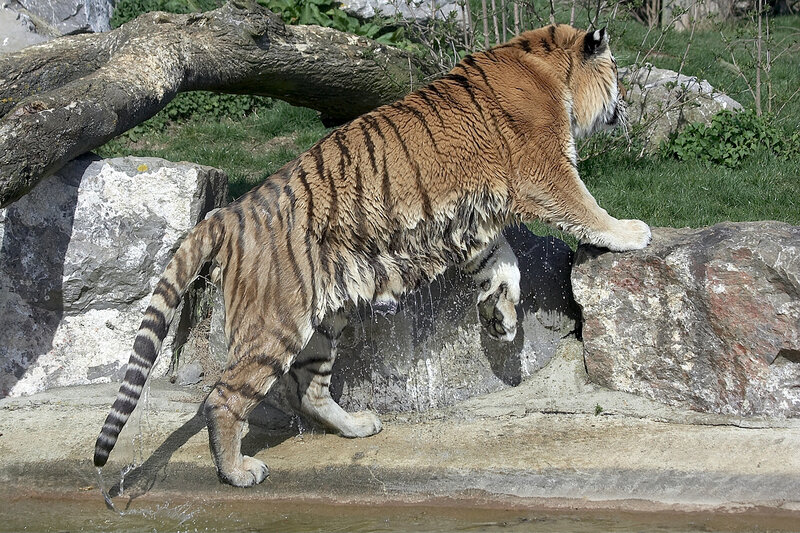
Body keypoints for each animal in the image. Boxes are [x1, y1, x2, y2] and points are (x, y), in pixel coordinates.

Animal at [94, 24, 650, 487]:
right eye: (617, 73)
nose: (628, 105)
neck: (547, 65)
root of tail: (230, 211)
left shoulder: (475, 226)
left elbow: (503, 262)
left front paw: (501, 316)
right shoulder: (546, 171)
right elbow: (586, 208)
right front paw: (630, 231)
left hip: (325, 320)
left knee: (309, 389)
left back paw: (357, 425)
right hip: (274, 324)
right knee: (225, 399)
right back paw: (237, 472)